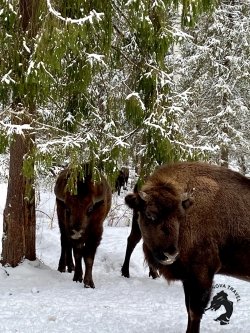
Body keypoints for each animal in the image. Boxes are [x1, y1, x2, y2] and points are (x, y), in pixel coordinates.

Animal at [125, 160, 250, 330]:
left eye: (180, 216)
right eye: (150, 215)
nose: (170, 254)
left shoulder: (202, 275)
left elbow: (194, 312)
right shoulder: (188, 278)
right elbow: (189, 310)